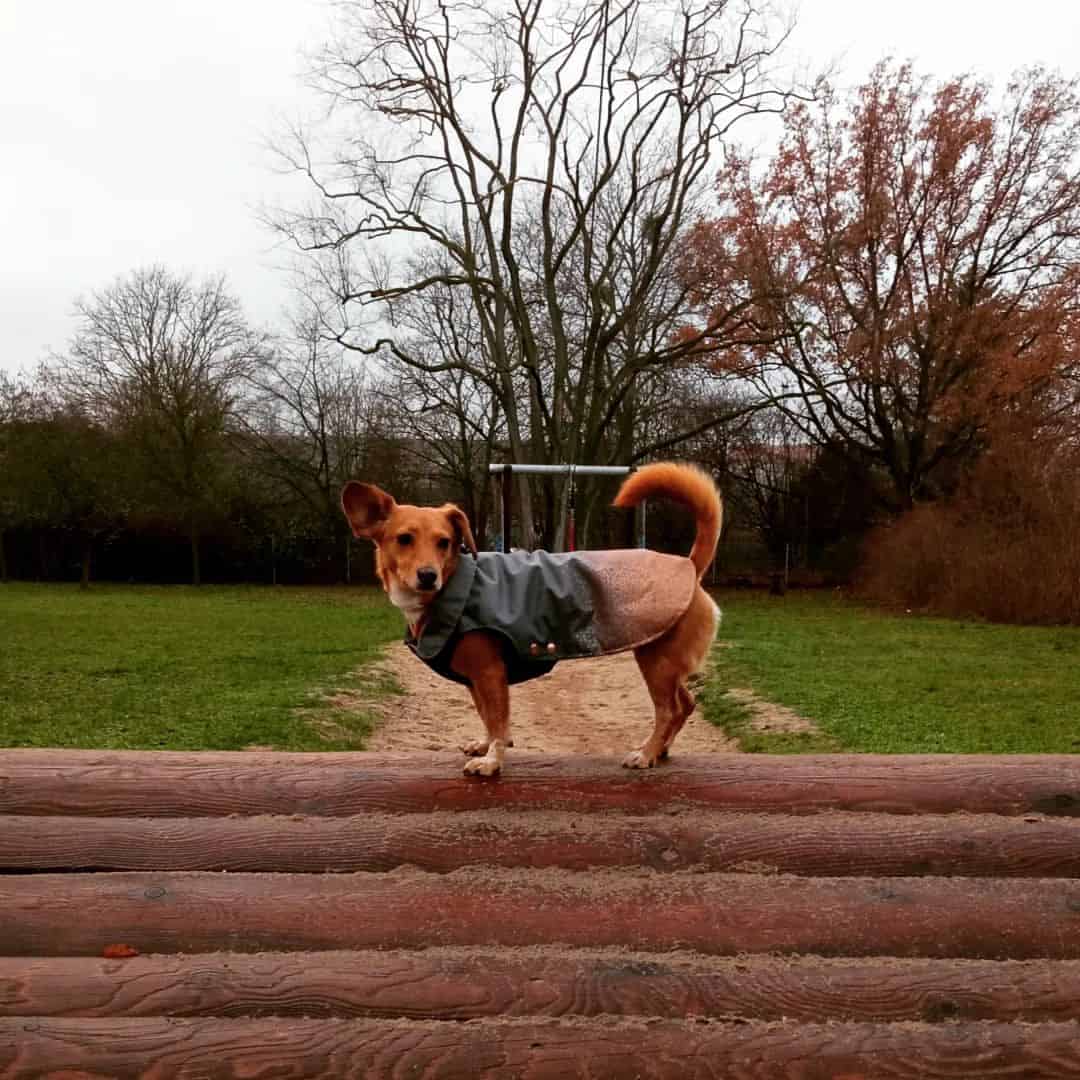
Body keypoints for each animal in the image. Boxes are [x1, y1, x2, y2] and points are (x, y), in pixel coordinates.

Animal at [341, 464, 721, 777]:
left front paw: (492, 762)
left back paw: (646, 753)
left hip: (656, 662)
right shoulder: (475, 681)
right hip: (665, 664)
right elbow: (487, 718)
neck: (459, 585)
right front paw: (485, 746)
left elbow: (498, 721)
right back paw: (662, 750)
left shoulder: (490, 674)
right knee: (686, 704)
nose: (427, 575)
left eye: (444, 542)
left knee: (668, 710)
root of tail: (689, 564)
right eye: (404, 539)